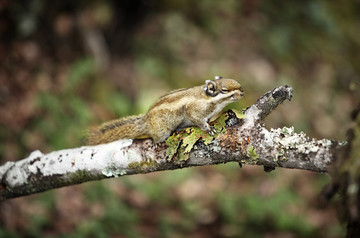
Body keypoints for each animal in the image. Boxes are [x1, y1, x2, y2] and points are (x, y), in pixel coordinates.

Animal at [86, 76, 245, 145]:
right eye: (224, 90)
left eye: (238, 83)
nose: (242, 92)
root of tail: (146, 121)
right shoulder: (194, 109)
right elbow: (197, 118)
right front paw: (207, 128)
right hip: (161, 130)